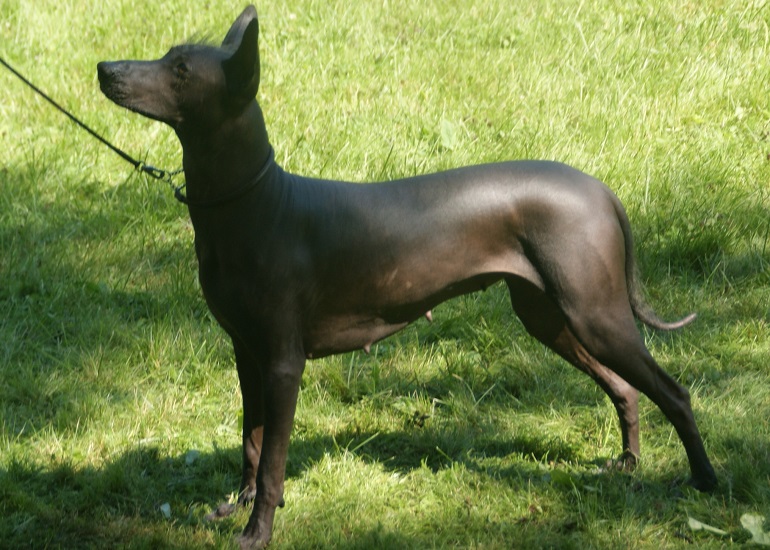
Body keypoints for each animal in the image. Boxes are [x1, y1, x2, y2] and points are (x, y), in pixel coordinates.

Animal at [96, 6, 712, 548]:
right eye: (167, 54)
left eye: (180, 69)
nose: (105, 69)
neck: (255, 202)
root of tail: (600, 189)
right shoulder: (246, 354)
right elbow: (251, 442)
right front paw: (239, 505)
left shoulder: (283, 363)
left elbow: (273, 460)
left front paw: (258, 530)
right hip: (551, 317)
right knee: (625, 388)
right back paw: (628, 463)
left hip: (595, 314)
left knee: (674, 392)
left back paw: (704, 480)